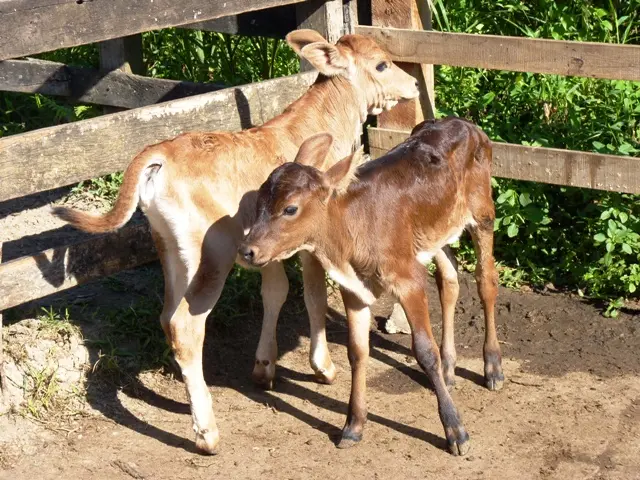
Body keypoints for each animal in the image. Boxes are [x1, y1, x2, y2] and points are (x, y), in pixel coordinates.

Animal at [52, 30, 418, 454]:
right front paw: (323, 367)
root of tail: (161, 152)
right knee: (186, 325)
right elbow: (312, 295)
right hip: (212, 253)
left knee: (166, 317)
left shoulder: (268, 248)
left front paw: (264, 367)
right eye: (382, 64)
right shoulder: (312, 241)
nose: (413, 84)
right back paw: (206, 432)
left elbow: (275, 292)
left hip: (170, 249)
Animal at [240, 117, 504, 458]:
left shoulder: (407, 278)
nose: (247, 250)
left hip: (482, 211)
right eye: (259, 202)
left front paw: (455, 430)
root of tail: (464, 123)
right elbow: (357, 351)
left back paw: (492, 366)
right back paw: (449, 369)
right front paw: (353, 425)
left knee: (486, 281)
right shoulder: (354, 290)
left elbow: (424, 351)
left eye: (290, 209)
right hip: (436, 230)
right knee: (449, 279)